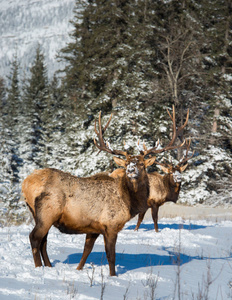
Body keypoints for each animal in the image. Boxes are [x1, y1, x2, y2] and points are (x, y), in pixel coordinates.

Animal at [21, 110, 179, 276]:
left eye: (142, 164)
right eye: (127, 163)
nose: (131, 170)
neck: (129, 202)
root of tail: (26, 183)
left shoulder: (93, 228)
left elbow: (86, 251)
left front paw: (78, 269)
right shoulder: (111, 225)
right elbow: (111, 256)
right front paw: (113, 276)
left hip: (39, 215)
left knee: (43, 241)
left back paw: (49, 266)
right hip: (47, 212)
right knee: (35, 238)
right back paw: (38, 267)